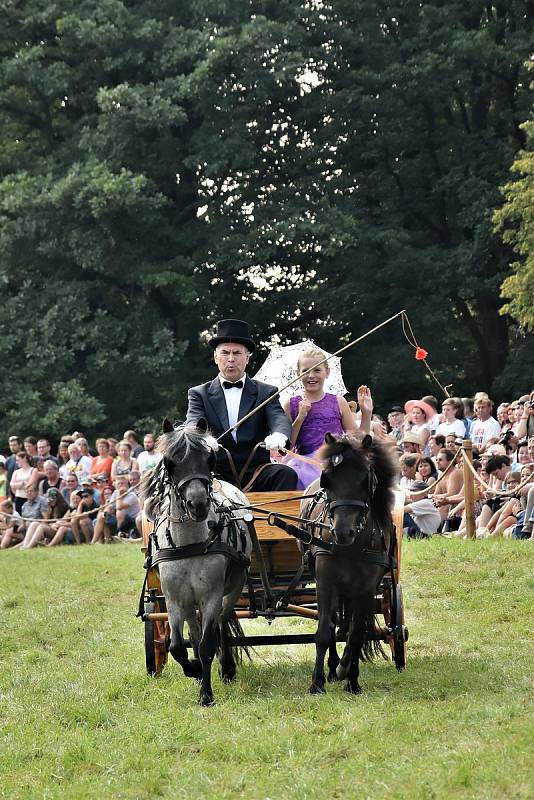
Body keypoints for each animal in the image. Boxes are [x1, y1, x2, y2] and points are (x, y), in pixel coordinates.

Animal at [306, 432, 398, 692]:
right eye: (328, 479)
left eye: (364, 479)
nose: (342, 532)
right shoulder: (326, 582)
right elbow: (324, 632)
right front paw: (317, 683)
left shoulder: (365, 589)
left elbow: (356, 635)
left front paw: (352, 681)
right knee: (333, 623)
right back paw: (333, 666)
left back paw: (341, 668)